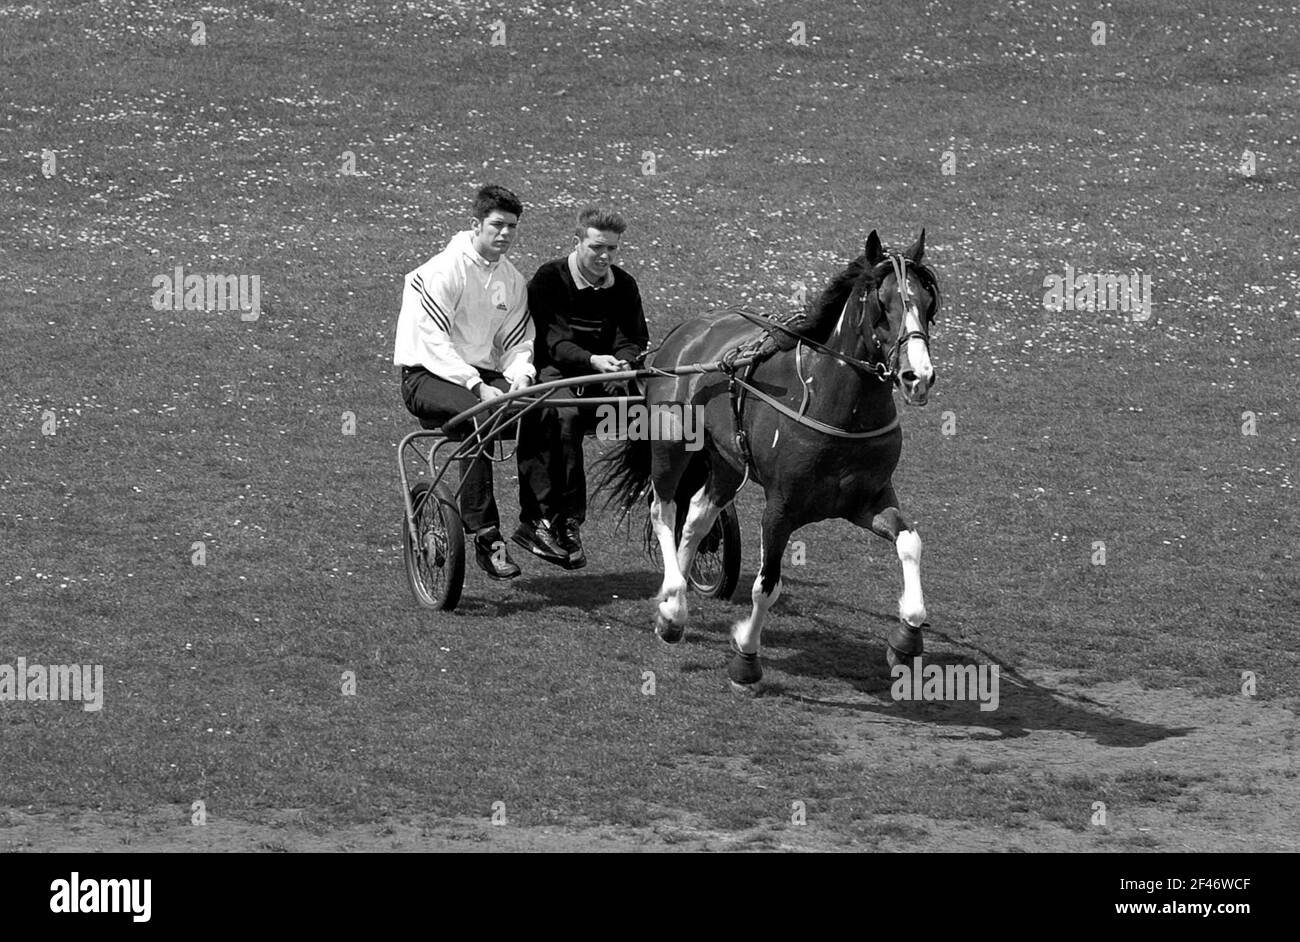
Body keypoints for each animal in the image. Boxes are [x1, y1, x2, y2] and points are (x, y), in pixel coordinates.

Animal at [595, 226, 941, 686]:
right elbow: (767, 585)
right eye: (881, 305)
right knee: (664, 511)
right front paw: (746, 656)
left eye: (928, 303)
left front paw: (907, 638)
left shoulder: (869, 500)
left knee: (697, 518)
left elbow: (910, 542)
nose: (917, 376)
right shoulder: (781, 508)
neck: (836, 406)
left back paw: (673, 612)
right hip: (671, 445)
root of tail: (687, 331)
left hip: (726, 461)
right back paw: (673, 594)